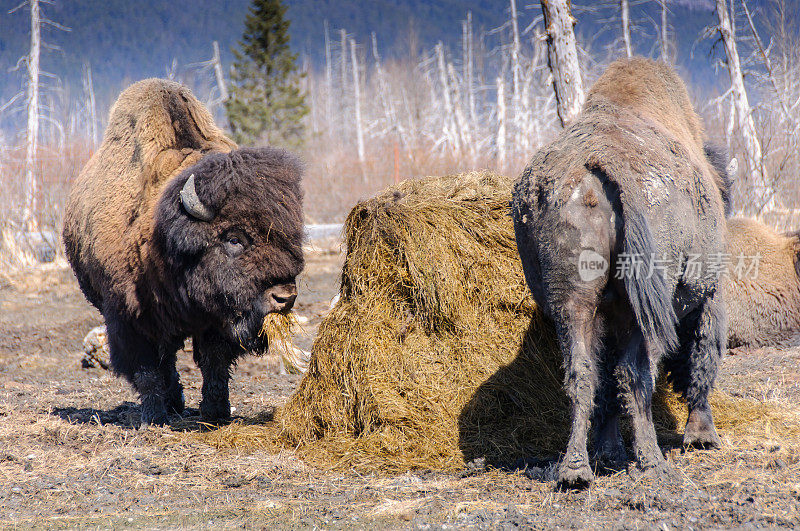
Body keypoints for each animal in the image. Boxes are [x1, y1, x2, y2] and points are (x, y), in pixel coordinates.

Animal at [62, 80, 304, 428]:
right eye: (234, 239)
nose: (284, 297)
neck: (159, 236)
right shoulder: (128, 318)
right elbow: (147, 370)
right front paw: (153, 417)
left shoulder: (216, 318)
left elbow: (214, 363)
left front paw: (215, 413)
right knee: (165, 362)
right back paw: (169, 405)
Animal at [512, 59, 732, 490]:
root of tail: (599, 161)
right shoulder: (709, 294)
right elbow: (702, 355)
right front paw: (701, 436)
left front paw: (609, 452)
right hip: (640, 307)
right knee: (635, 375)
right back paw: (652, 462)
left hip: (573, 300)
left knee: (584, 374)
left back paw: (577, 470)